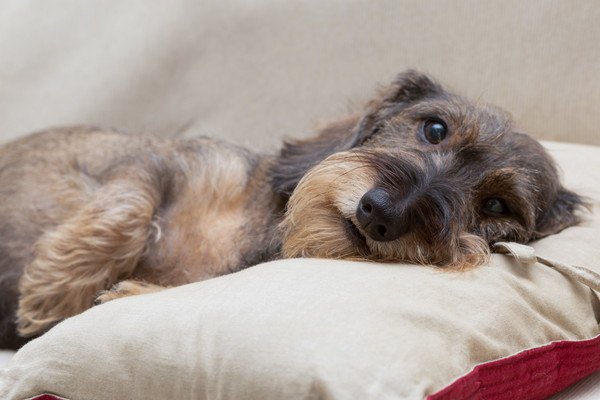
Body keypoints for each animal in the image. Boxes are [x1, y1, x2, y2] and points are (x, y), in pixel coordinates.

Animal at [0, 70, 584, 348]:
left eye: (496, 204)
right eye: (434, 128)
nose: (381, 213)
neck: (259, 229)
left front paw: (119, 294)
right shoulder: (149, 163)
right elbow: (129, 208)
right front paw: (53, 292)